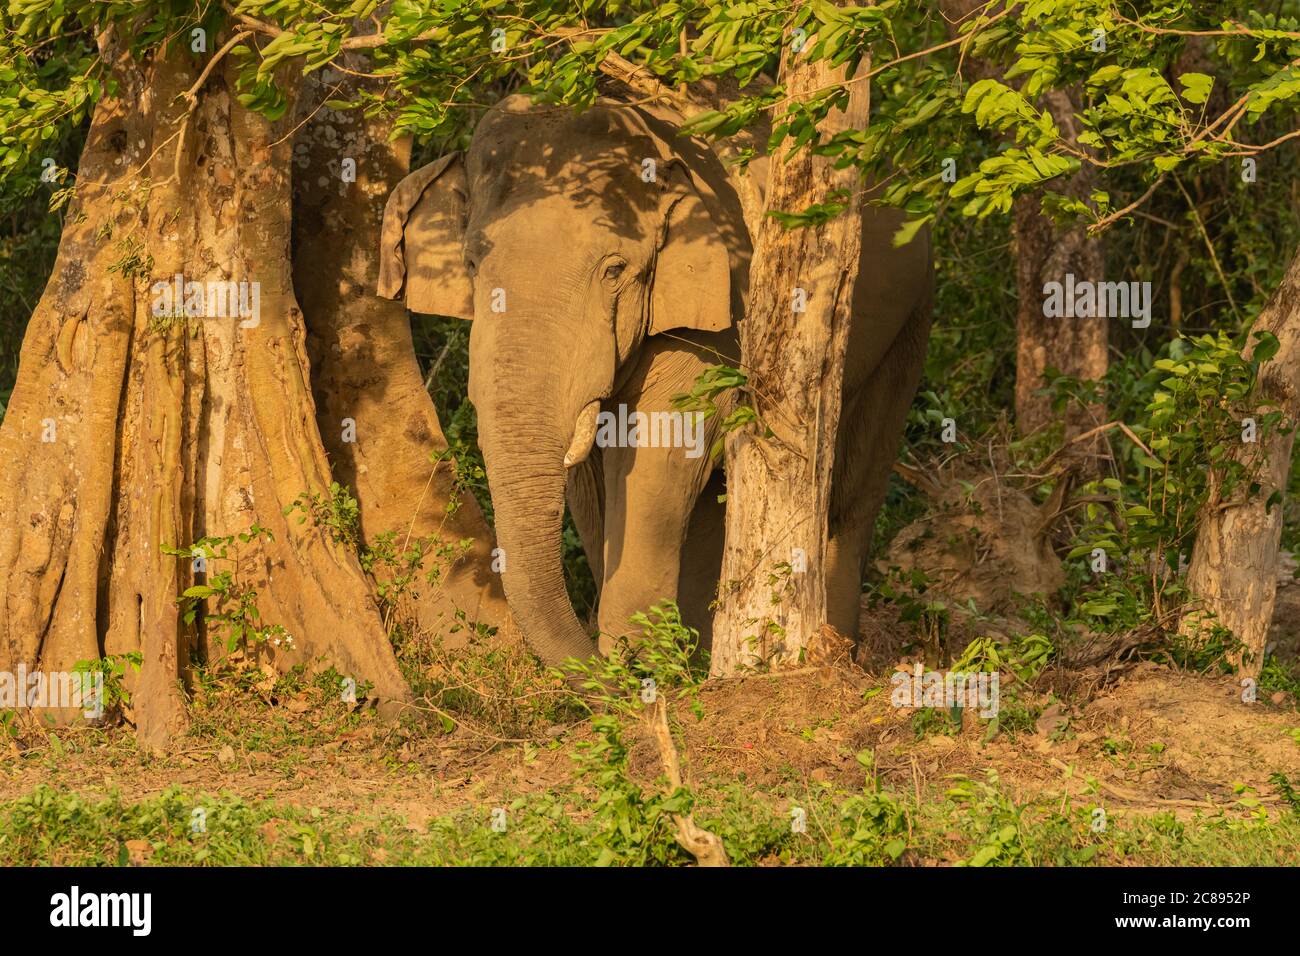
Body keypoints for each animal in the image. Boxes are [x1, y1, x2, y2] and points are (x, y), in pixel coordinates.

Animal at [377, 93, 935, 671]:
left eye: (614, 270)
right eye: (470, 264)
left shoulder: (718, 309)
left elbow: (658, 451)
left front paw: (637, 667)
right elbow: (590, 481)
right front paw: (641, 664)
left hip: (911, 314)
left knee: (854, 490)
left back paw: (834, 652)